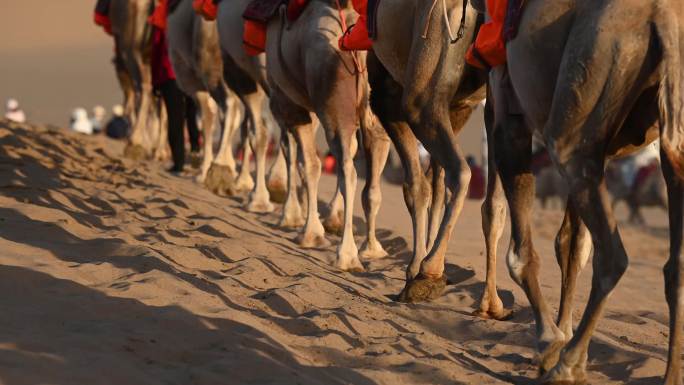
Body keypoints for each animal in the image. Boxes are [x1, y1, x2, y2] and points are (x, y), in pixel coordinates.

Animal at [110, 0, 169, 160]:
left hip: (131, 49)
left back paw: (135, 142)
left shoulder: (120, 54)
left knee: (143, 88)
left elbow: (129, 101)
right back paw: (160, 151)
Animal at [478, 0, 684, 380]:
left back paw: (567, 365)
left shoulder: (506, 96)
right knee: (674, 265)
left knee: (613, 255)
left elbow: (523, 253)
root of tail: (663, 16)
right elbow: (571, 245)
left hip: (595, 68)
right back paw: (668, 377)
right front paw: (562, 333)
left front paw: (549, 342)